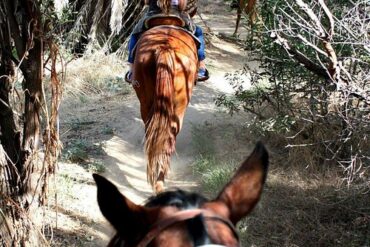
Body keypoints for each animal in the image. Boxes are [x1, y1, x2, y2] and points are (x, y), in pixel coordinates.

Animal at [132, 16, 198, 193]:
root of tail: (164, 47)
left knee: (152, 131)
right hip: (180, 104)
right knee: (170, 135)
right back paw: (160, 181)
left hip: (146, 100)